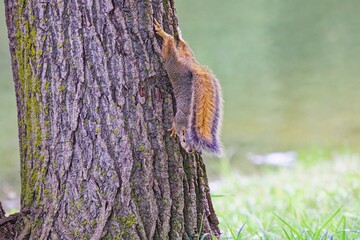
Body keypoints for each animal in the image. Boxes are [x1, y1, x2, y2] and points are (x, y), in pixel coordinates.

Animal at [153, 20, 221, 156]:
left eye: (195, 146)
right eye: (184, 140)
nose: (189, 151)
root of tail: (190, 64)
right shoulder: (179, 117)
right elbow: (175, 122)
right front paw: (174, 129)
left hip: (181, 56)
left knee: (179, 44)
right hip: (172, 60)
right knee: (170, 42)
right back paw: (164, 33)